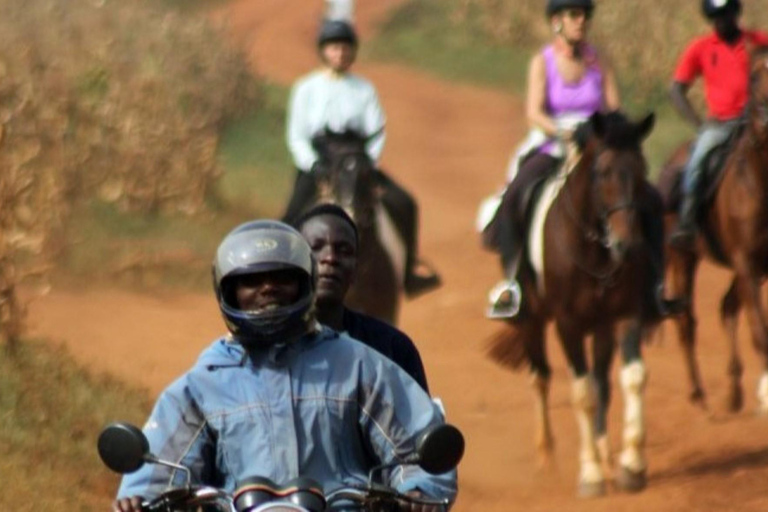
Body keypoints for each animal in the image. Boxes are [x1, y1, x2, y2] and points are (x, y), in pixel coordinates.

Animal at [488, 111, 656, 496]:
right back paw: (548, 458)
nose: (629, 246)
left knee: (602, 380)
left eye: (641, 169)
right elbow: (581, 393)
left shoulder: (627, 314)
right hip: (531, 319)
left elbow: (632, 378)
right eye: (603, 172)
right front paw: (590, 474)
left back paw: (606, 453)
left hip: (603, 325)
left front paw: (631, 465)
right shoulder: (568, 324)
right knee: (540, 378)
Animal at [656, 48, 768, 414]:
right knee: (686, 321)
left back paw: (733, 393)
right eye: (753, 76)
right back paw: (698, 394)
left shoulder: (754, 265)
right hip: (683, 256)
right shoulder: (744, 260)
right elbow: (759, 328)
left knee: (726, 307)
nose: (764, 120)